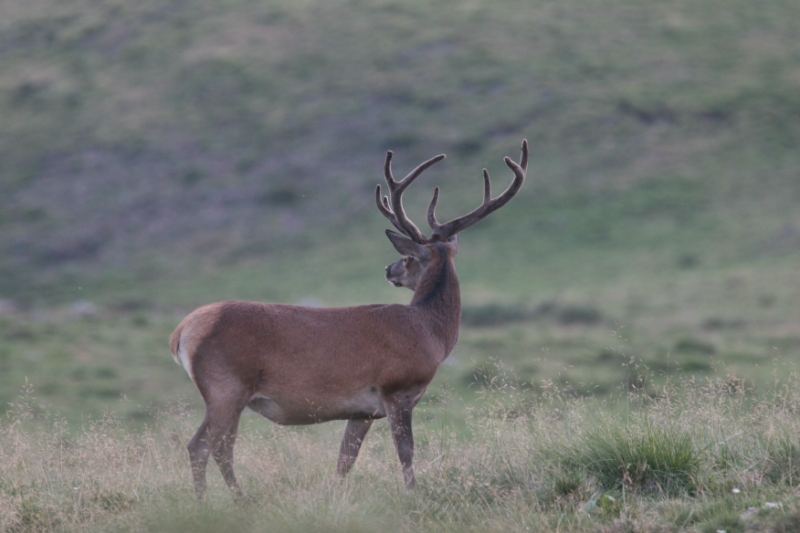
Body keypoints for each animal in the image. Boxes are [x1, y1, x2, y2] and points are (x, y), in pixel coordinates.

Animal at [169, 140, 528, 500]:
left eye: (406, 259)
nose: (389, 269)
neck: (431, 332)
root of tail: (181, 332)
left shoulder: (362, 411)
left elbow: (345, 459)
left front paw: (336, 497)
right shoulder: (397, 389)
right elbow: (406, 451)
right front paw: (412, 494)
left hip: (229, 394)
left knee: (211, 447)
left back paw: (221, 501)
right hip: (226, 386)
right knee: (208, 446)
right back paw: (222, 501)